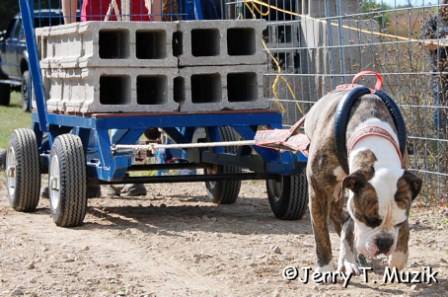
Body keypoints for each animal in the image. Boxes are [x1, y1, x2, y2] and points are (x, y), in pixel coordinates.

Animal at [302, 87, 422, 272]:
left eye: (399, 222)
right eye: (369, 219)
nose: (384, 242)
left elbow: (404, 232)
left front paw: (398, 257)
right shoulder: (318, 192)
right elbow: (321, 235)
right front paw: (325, 268)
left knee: (344, 222)